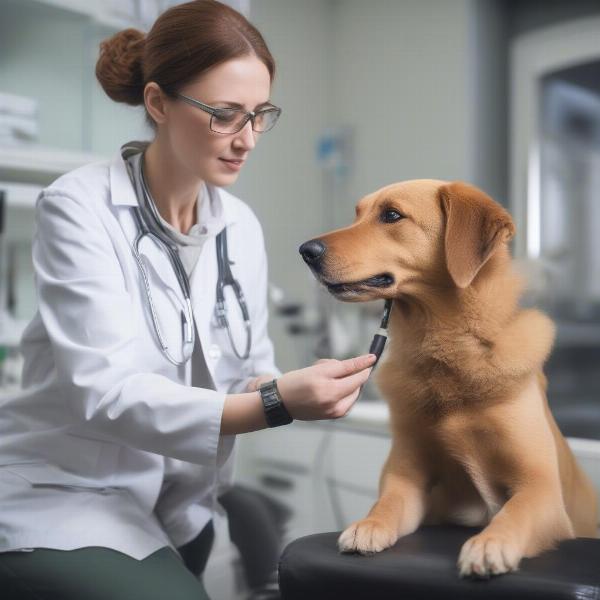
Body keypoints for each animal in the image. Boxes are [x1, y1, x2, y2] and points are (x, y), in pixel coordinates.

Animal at [298, 180, 596, 580]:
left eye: (391, 215)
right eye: (357, 214)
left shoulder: (541, 488)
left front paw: (490, 543)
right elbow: (387, 502)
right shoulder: (405, 476)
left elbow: (514, 513)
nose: (306, 250)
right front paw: (368, 525)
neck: (445, 348)